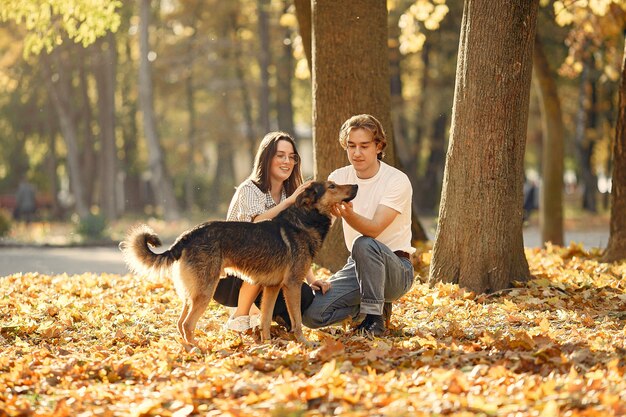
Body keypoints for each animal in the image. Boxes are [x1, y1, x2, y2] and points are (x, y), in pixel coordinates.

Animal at [120, 180, 356, 346]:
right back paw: (198, 348)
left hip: (193, 292)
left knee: (180, 322)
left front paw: (268, 344)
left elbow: (265, 319)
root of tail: (189, 234)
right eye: (332, 186)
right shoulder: (292, 286)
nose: (355, 185)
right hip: (206, 291)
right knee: (187, 324)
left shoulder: (272, 287)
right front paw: (304, 343)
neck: (304, 220)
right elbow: (297, 321)